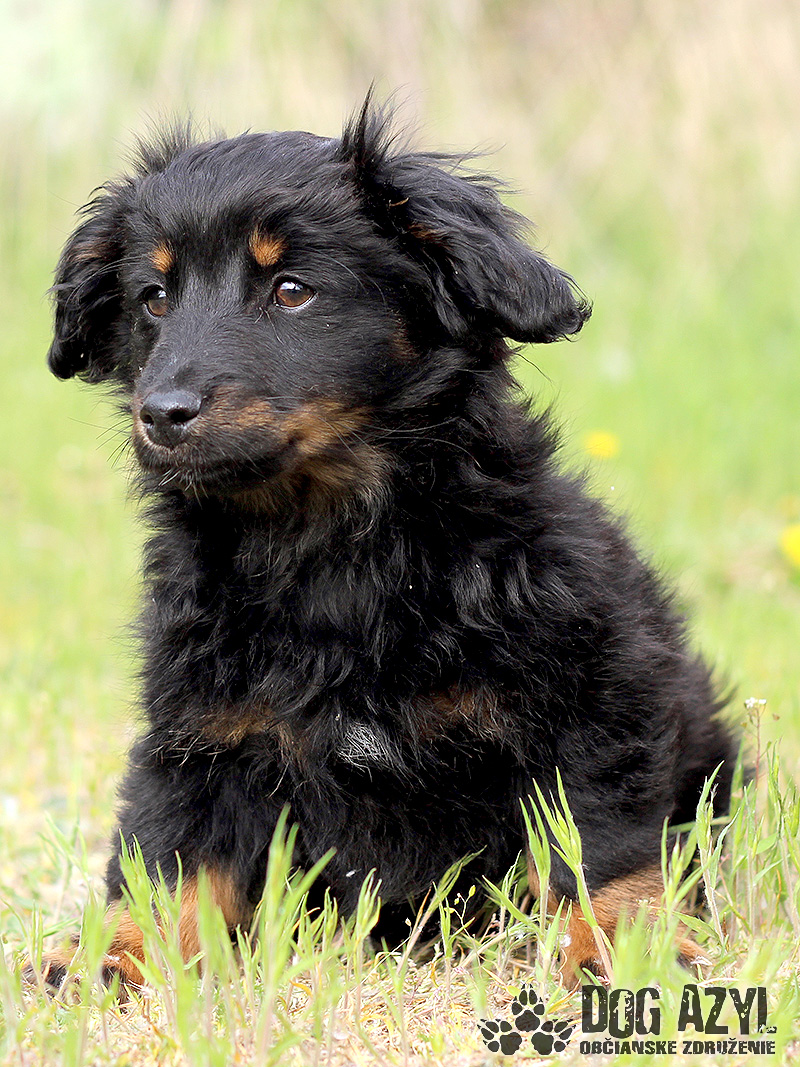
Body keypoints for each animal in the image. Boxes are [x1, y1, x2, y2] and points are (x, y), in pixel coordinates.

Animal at [36, 98, 735, 991]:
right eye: (153, 298)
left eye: (292, 290)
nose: (161, 413)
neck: (332, 547)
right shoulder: (200, 729)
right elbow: (171, 852)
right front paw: (115, 953)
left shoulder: (598, 692)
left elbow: (596, 842)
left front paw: (621, 943)